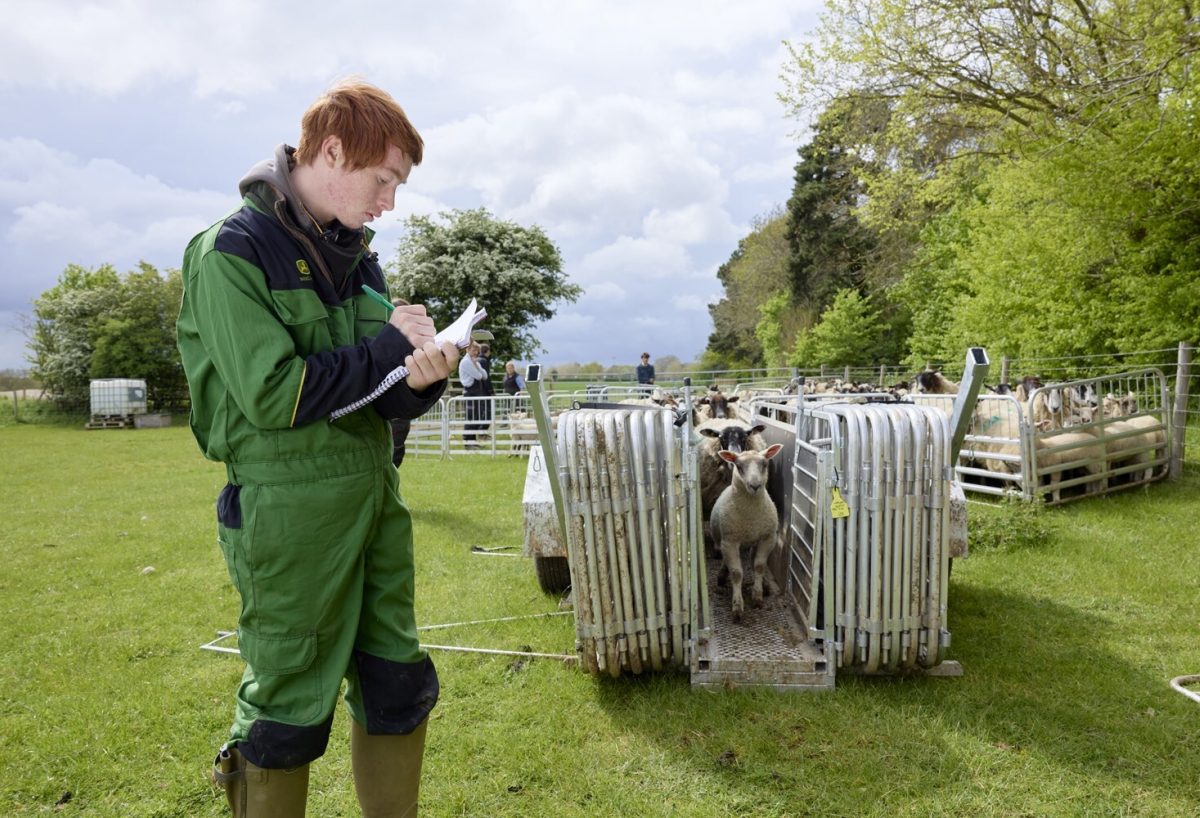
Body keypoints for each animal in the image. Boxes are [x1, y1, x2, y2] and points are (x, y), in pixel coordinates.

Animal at [710, 443, 787, 618]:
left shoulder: (768, 538)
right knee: (725, 559)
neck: (751, 514)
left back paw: (764, 583)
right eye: (738, 466)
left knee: (753, 559)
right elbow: (737, 573)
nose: (755, 486)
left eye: (764, 464)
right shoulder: (730, 541)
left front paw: (757, 596)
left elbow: (759, 565)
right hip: (722, 540)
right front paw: (737, 605)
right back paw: (722, 575)